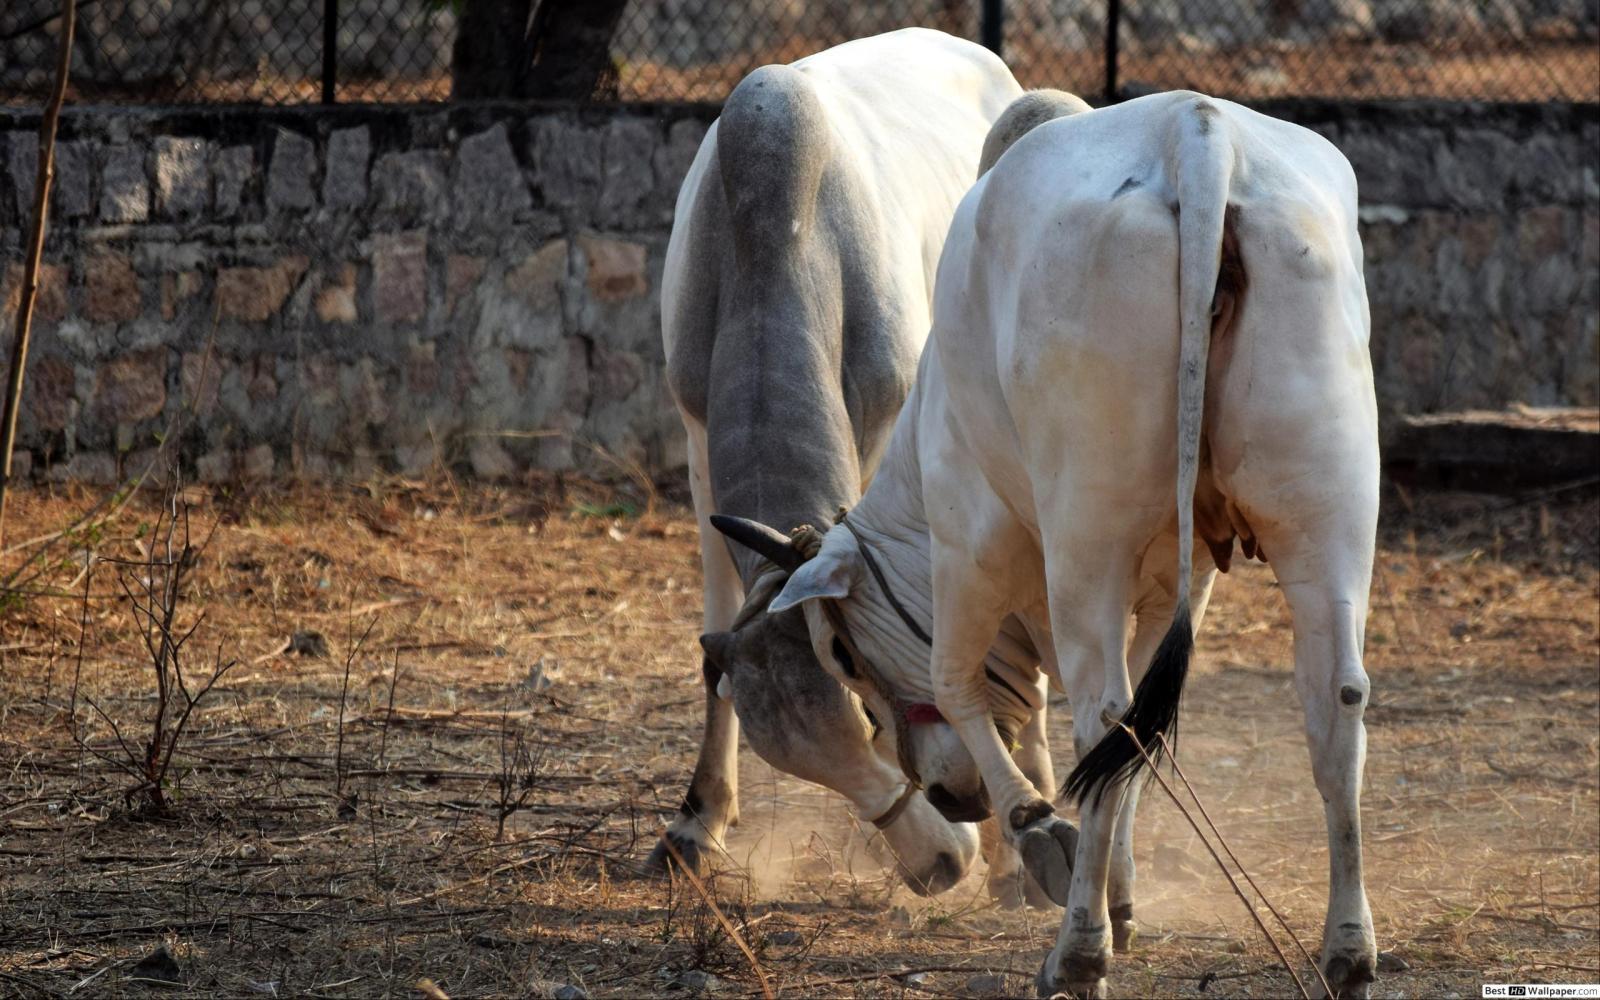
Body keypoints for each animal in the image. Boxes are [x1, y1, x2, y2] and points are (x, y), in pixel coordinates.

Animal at [717, 90, 1382, 997]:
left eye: (843, 657)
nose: (951, 798)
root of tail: (1196, 132)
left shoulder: (968, 538)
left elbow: (957, 681)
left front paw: (1037, 829)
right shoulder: (1171, 584)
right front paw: (1121, 894)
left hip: (1084, 542)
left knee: (1107, 715)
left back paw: (1077, 954)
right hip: (1327, 513)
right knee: (1331, 698)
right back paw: (1347, 950)